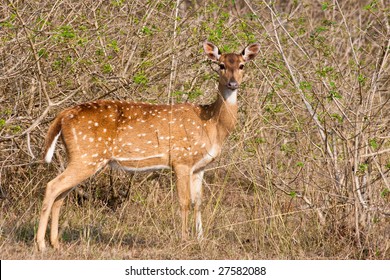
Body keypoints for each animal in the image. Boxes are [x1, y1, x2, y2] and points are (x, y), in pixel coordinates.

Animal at [36, 40, 260, 250]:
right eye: (221, 65)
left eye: (242, 65)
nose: (232, 84)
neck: (212, 124)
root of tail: (63, 116)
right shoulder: (181, 159)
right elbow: (184, 202)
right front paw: (184, 239)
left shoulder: (200, 166)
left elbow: (198, 202)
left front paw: (200, 238)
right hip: (87, 156)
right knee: (52, 186)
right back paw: (41, 244)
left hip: (80, 157)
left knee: (61, 194)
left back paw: (55, 243)